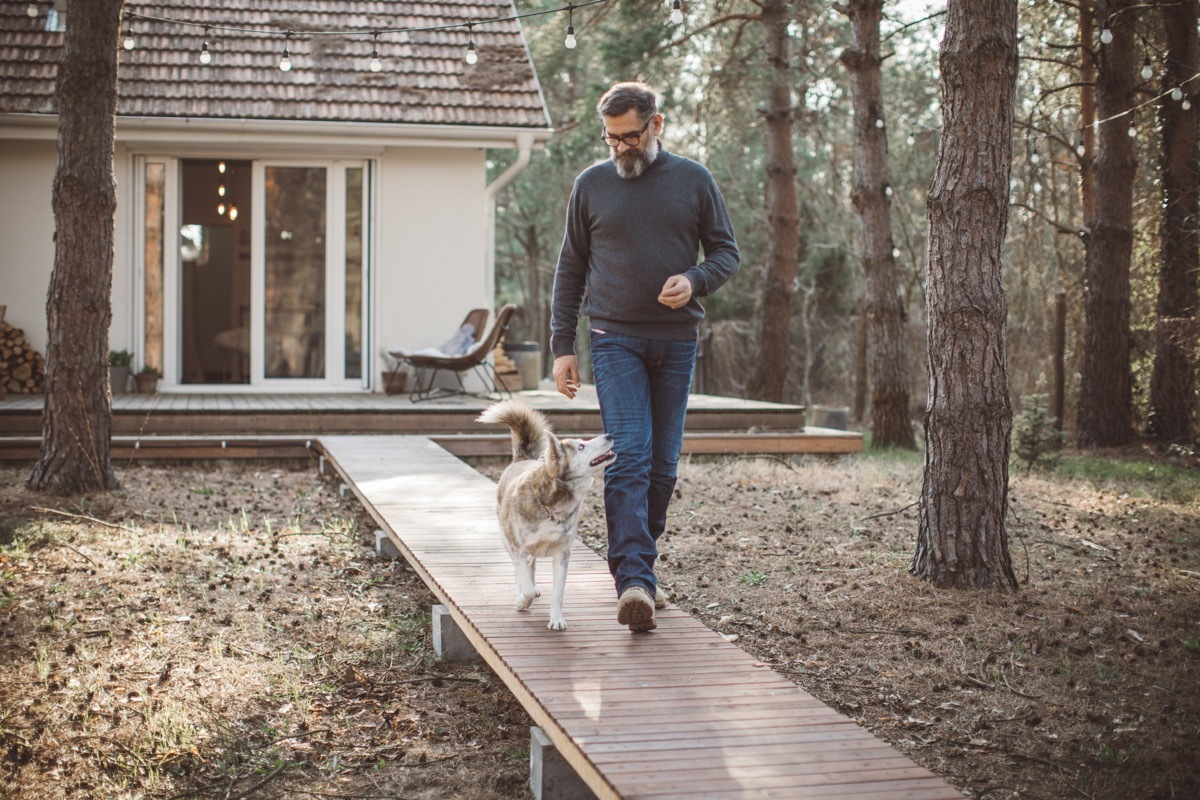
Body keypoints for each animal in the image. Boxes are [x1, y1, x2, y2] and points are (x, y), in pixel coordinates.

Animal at [475, 400, 614, 633]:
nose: (610, 435)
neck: (550, 505)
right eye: (581, 446)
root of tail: (522, 459)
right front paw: (522, 601)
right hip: (506, 539)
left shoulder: (562, 554)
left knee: (531, 564)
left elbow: (558, 593)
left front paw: (556, 619)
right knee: (520, 569)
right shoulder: (518, 549)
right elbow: (525, 585)